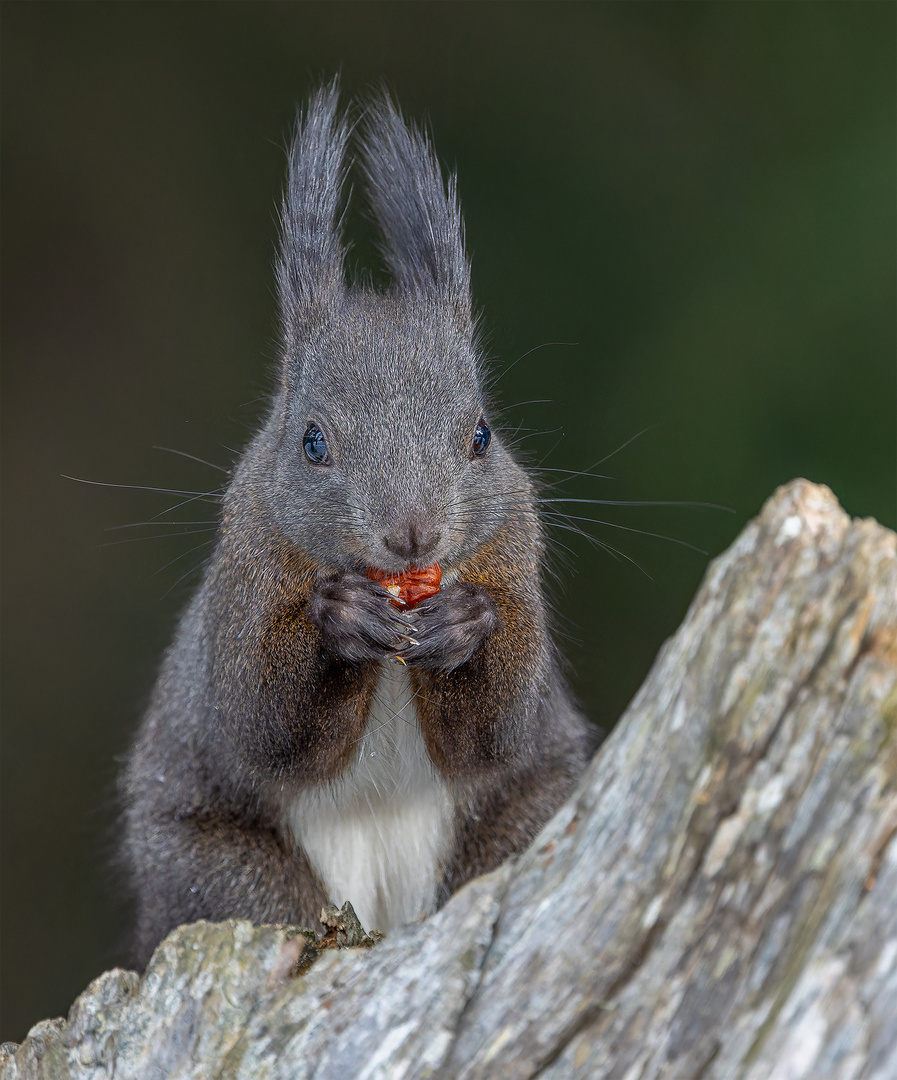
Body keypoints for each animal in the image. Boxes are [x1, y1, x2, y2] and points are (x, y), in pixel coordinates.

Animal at [119, 79, 595, 967]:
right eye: (311, 440)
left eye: (480, 435)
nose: (413, 535)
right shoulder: (245, 575)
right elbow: (262, 718)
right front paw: (336, 621)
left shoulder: (512, 555)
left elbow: (498, 727)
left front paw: (466, 621)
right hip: (217, 873)